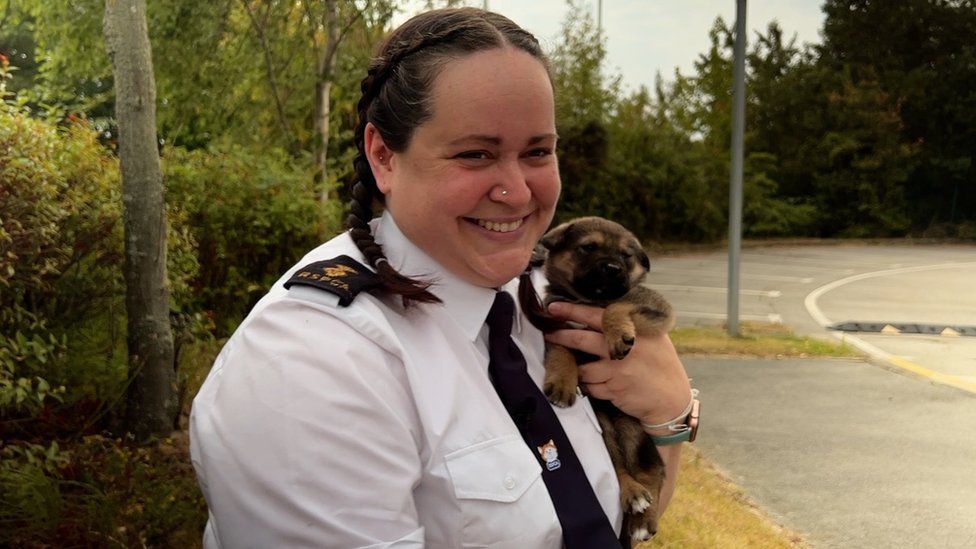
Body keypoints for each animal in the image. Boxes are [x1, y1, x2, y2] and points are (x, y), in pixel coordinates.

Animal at [528, 216, 676, 540]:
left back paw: (643, 518)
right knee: (620, 468)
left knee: (652, 472)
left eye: (626, 255)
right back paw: (633, 495)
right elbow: (561, 351)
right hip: (606, 429)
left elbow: (616, 304)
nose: (612, 268)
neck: (586, 301)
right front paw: (563, 381)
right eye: (588, 248)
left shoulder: (654, 306)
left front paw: (617, 332)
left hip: (632, 430)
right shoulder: (554, 326)